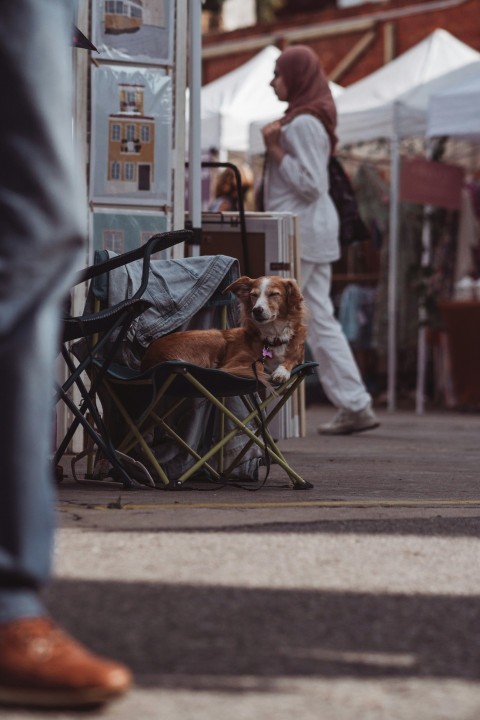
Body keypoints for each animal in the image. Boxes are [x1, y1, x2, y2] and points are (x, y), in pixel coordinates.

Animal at [141, 272, 308, 386]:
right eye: (253, 295)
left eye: (274, 294)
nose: (256, 310)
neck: (273, 337)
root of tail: (149, 356)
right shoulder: (232, 363)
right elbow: (258, 366)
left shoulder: (298, 355)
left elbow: (291, 360)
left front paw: (282, 371)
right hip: (216, 335)